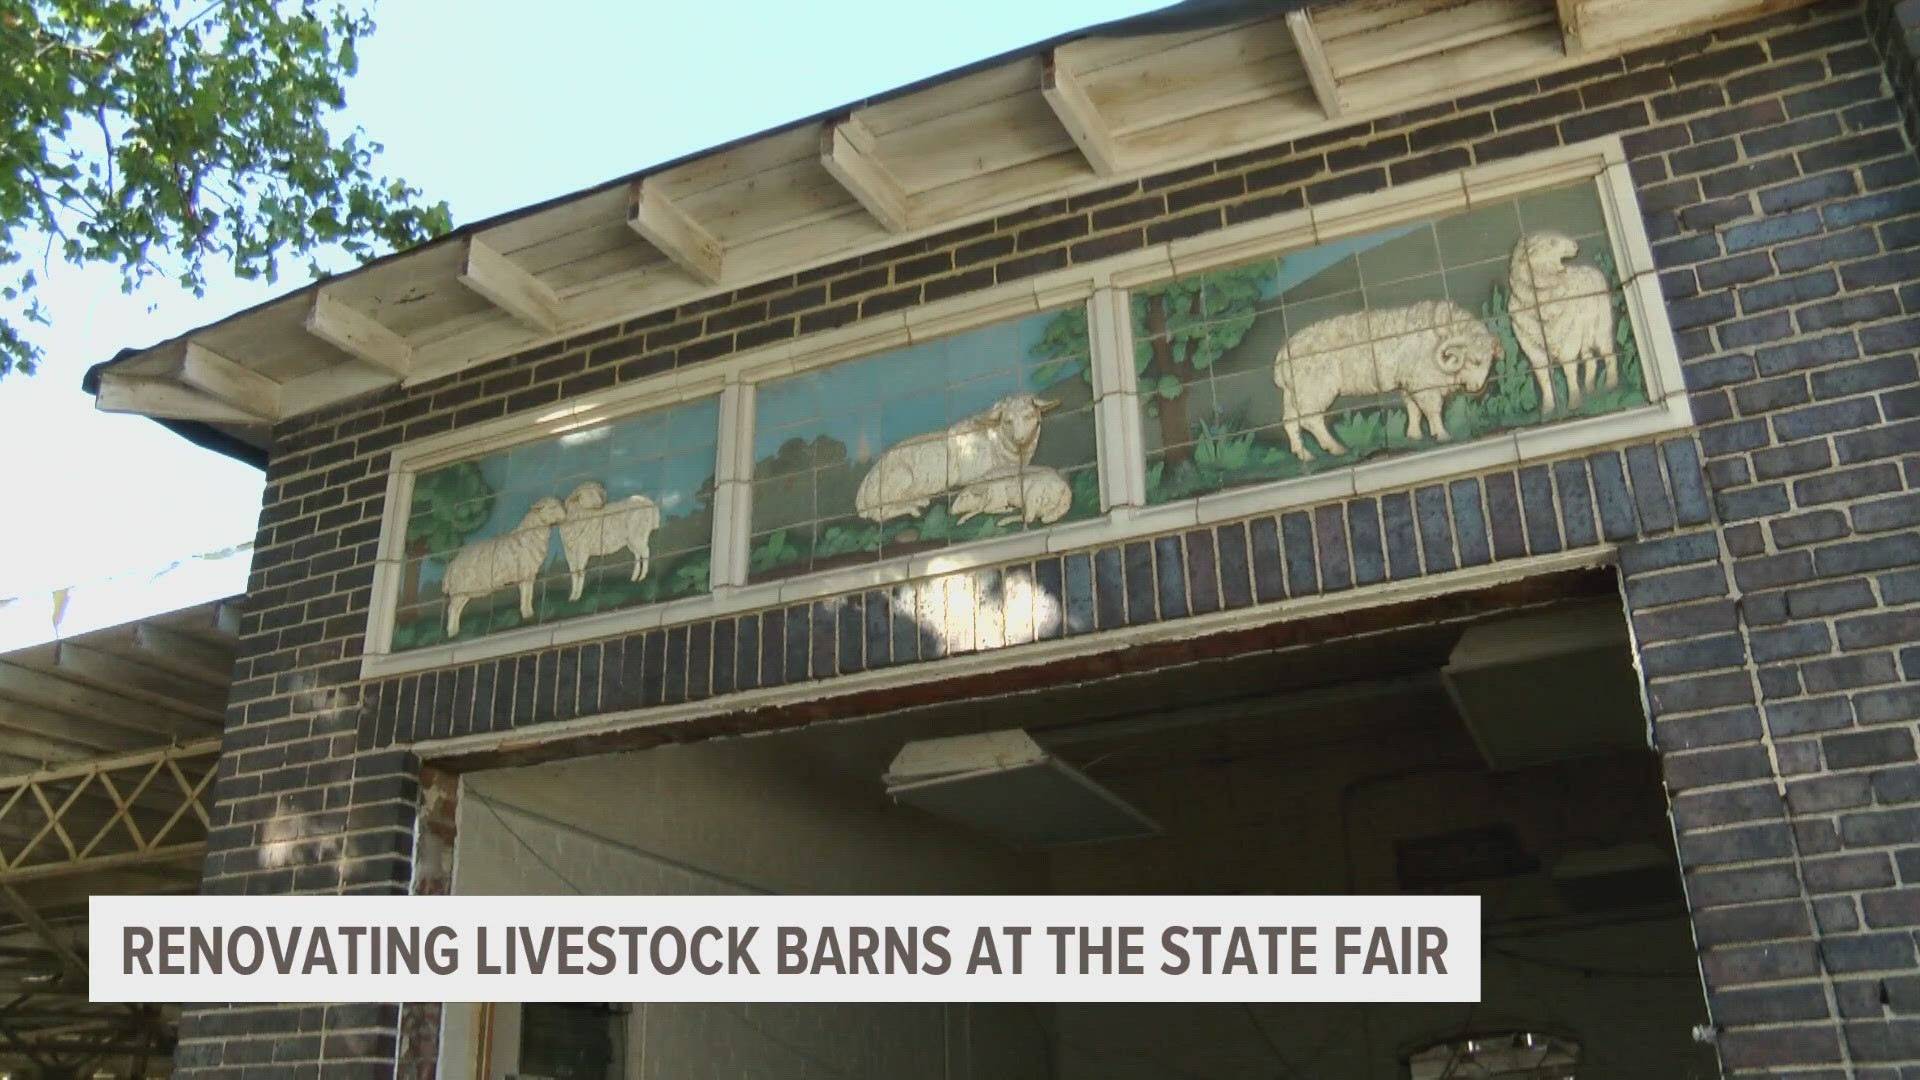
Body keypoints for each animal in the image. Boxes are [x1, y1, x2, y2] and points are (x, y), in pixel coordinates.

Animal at [443, 499, 568, 638]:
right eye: (552, 507)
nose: (566, 512)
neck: (532, 533)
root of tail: (451, 565)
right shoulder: (525, 572)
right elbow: (526, 595)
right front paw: (528, 615)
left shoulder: (528, 574)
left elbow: (527, 595)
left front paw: (527, 615)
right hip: (459, 589)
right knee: (452, 609)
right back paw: (452, 633)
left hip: (465, 591)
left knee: (457, 609)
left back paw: (454, 632)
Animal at [860, 390, 1067, 522]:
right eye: (1007, 420)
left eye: (1028, 416)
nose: (1020, 438)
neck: (995, 439)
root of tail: (862, 491)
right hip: (900, 476)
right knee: (880, 513)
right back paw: (915, 508)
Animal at [1267, 297, 1505, 457]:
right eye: (1474, 360)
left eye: (1489, 361)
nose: (1476, 388)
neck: (1441, 332)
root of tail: (1281, 359)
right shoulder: (1424, 382)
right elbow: (1432, 410)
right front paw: (1443, 435)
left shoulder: (1410, 383)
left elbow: (1413, 409)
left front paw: (1414, 435)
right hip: (1315, 389)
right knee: (1311, 420)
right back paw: (1336, 448)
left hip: (1295, 394)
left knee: (1290, 421)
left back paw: (1304, 454)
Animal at [1512, 228, 1620, 409]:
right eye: (1551, 243)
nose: (1575, 246)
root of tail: (1593, 270)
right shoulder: (1532, 349)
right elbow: (1543, 378)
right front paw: (1548, 409)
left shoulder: (1567, 340)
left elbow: (1569, 370)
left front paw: (1574, 402)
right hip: (1585, 334)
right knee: (1591, 361)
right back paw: (1591, 390)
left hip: (1600, 327)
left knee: (1608, 354)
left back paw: (1610, 385)